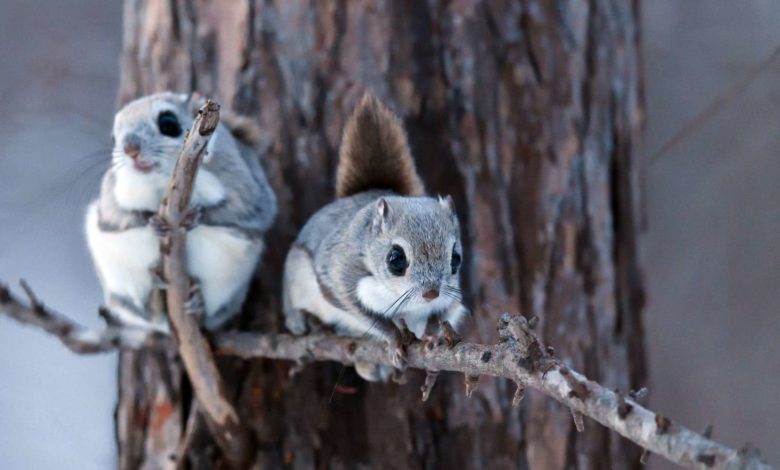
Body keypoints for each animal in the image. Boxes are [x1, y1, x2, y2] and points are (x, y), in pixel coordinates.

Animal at [86, 92, 278, 332]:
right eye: (114, 139)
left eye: (168, 123)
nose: (130, 149)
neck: (162, 181)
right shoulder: (110, 197)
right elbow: (115, 218)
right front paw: (152, 222)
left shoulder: (246, 186)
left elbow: (251, 210)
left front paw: (196, 217)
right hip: (119, 281)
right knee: (147, 314)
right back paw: (154, 298)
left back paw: (199, 303)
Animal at [284, 92, 466, 382]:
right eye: (396, 259)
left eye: (456, 259)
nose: (431, 293)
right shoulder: (340, 275)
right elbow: (363, 312)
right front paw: (394, 339)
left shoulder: (452, 298)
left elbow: (441, 315)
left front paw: (433, 336)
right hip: (297, 274)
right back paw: (302, 321)